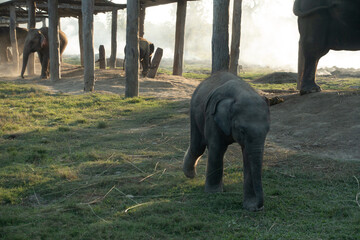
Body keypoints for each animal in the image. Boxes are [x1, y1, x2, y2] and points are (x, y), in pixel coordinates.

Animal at [183, 71, 270, 212]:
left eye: (267, 130)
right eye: (242, 130)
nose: (259, 207)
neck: (241, 92)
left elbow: (247, 155)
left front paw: (250, 205)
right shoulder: (212, 116)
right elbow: (217, 149)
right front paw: (213, 193)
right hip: (194, 110)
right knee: (198, 146)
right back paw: (189, 174)